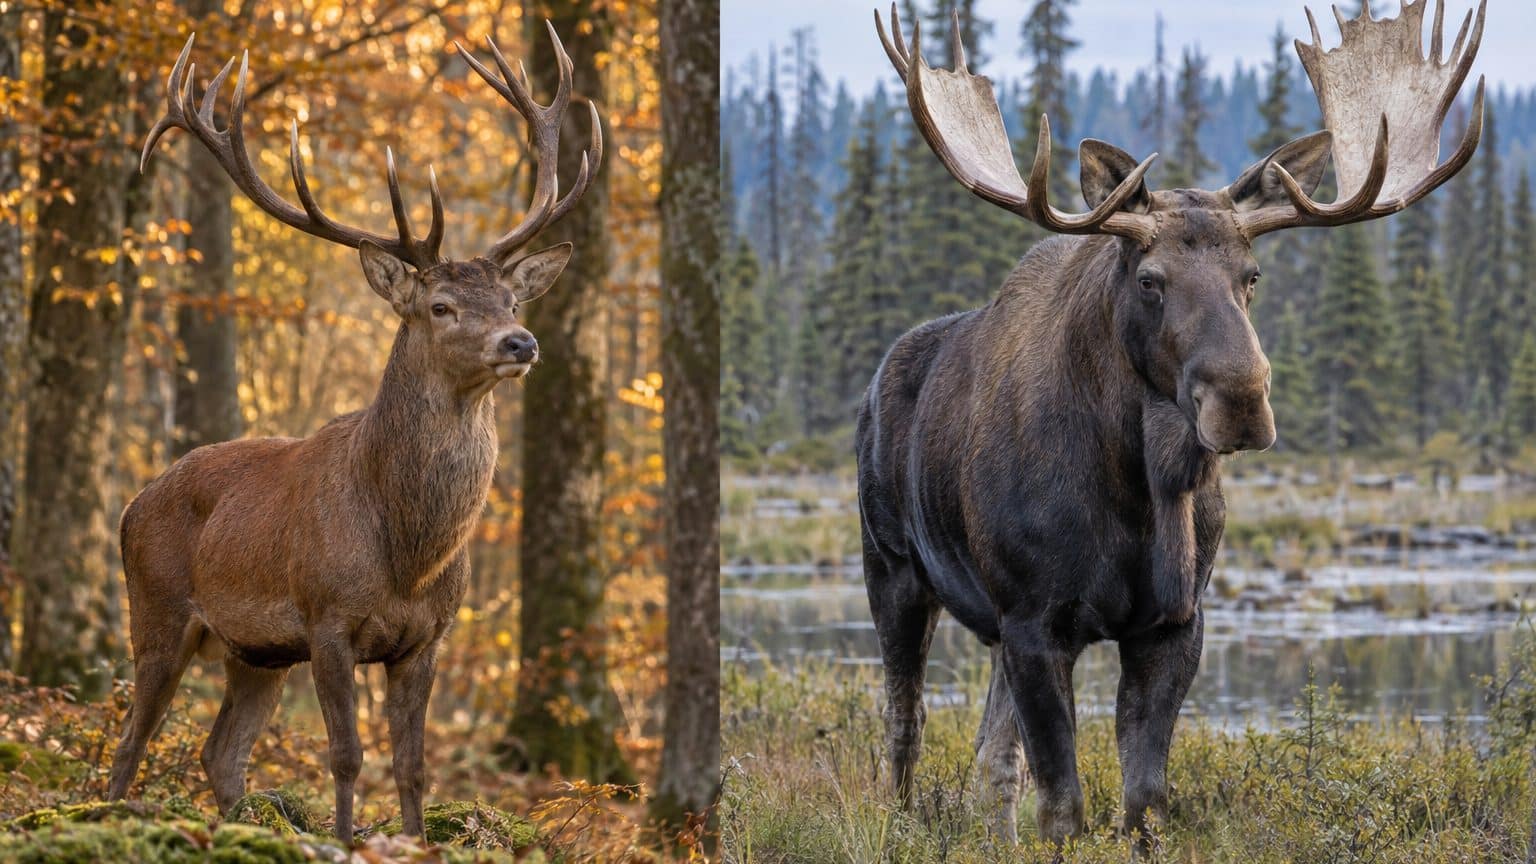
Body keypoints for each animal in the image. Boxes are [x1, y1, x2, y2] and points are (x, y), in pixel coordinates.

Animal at [105, 24, 601, 842]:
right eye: (439, 306)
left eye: (508, 299)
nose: (521, 342)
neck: (407, 552)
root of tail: (132, 503)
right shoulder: (327, 620)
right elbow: (346, 757)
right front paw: (344, 840)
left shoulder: (426, 637)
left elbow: (413, 767)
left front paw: (413, 841)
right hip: (158, 609)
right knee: (130, 740)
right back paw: (109, 812)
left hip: (255, 653)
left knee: (220, 751)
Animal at [859, 0, 1483, 850]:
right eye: (1151, 280)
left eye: (1252, 275)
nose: (1242, 398)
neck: (1141, 490)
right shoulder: (1034, 620)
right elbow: (1064, 807)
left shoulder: (1174, 623)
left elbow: (1144, 801)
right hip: (892, 567)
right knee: (905, 721)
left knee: (991, 756)